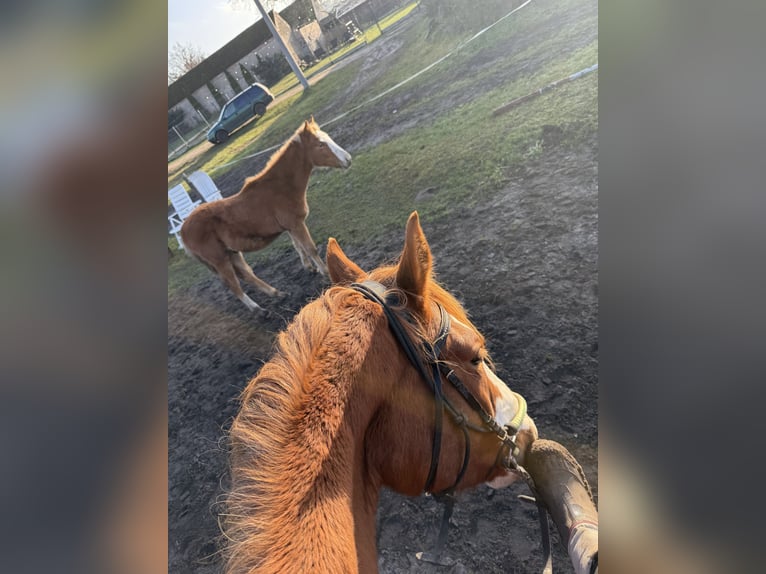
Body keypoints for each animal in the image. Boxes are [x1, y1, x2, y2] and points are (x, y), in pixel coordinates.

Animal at [180, 117, 352, 311]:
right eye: (321, 144)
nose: (348, 159)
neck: (280, 187)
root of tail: (183, 231)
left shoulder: (290, 227)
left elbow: (298, 246)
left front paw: (310, 268)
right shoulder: (296, 224)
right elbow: (310, 248)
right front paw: (325, 273)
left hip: (231, 252)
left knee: (247, 275)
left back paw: (277, 293)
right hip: (220, 260)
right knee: (233, 284)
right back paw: (257, 308)